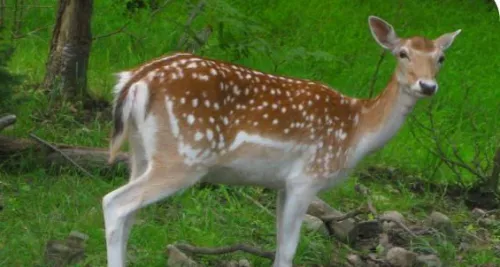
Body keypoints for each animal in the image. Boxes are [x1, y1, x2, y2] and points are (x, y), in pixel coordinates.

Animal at [101, 15, 460, 266]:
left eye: (441, 58)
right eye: (402, 53)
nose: (427, 86)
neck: (357, 129)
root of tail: (135, 81)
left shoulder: (281, 184)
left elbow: (277, 247)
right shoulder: (306, 178)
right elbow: (288, 251)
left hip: (141, 153)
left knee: (128, 211)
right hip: (184, 156)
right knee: (114, 203)